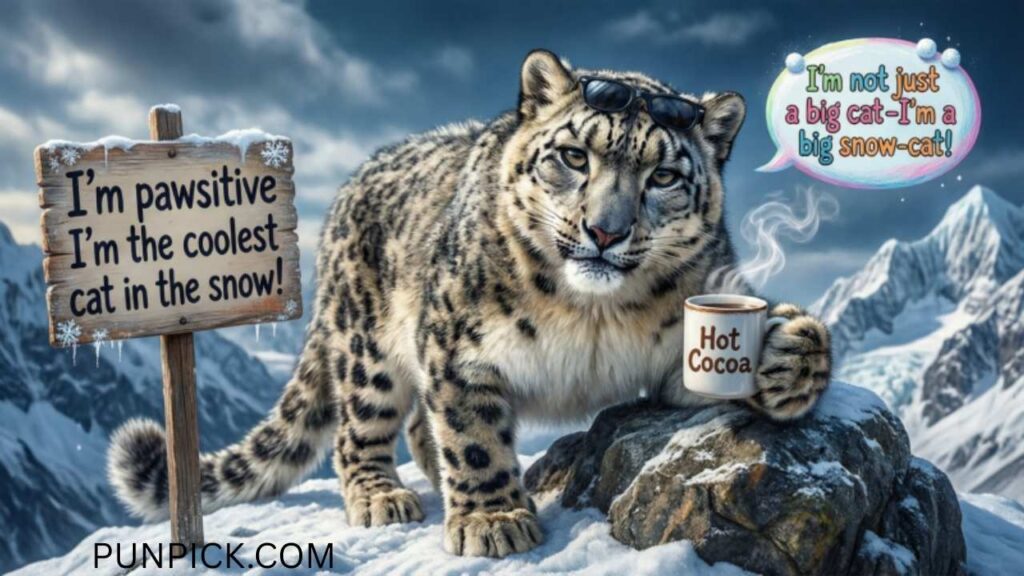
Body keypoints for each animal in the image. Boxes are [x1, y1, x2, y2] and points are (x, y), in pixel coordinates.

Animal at [109, 50, 831, 558]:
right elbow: (473, 433)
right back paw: (384, 496)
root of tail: (344, 195)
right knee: (362, 427)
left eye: (664, 176)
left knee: (414, 426)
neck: (594, 314)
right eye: (574, 156)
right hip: (369, 350)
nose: (605, 231)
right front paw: (493, 519)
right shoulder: (458, 347)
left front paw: (790, 354)